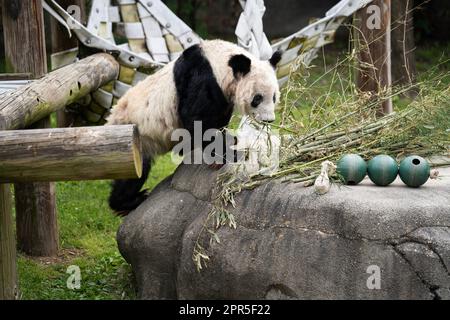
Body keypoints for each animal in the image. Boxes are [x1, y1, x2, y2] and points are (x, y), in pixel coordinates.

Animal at [106, 39, 282, 215]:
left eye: (274, 97)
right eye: (257, 98)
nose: (268, 120)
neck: (219, 63)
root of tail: (111, 120)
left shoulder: (222, 97)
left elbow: (217, 120)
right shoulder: (200, 77)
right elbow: (196, 119)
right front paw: (219, 155)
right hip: (133, 136)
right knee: (132, 173)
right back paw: (127, 202)